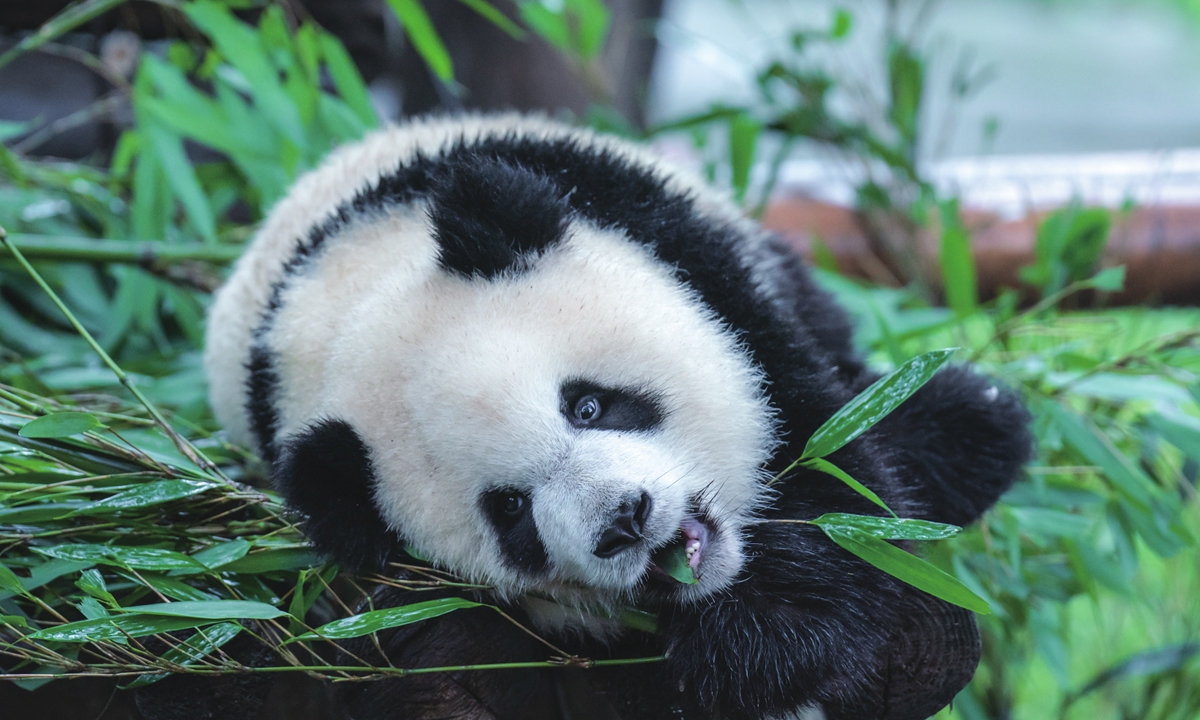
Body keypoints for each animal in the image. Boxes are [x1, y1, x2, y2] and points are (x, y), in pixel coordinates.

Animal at [204, 114, 1032, 720]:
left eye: (588, 404)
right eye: (511, 512)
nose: (624, 520)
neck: (347, 291)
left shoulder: (687, 255)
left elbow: (831, 476)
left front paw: (763, 635)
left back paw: (970, 425)